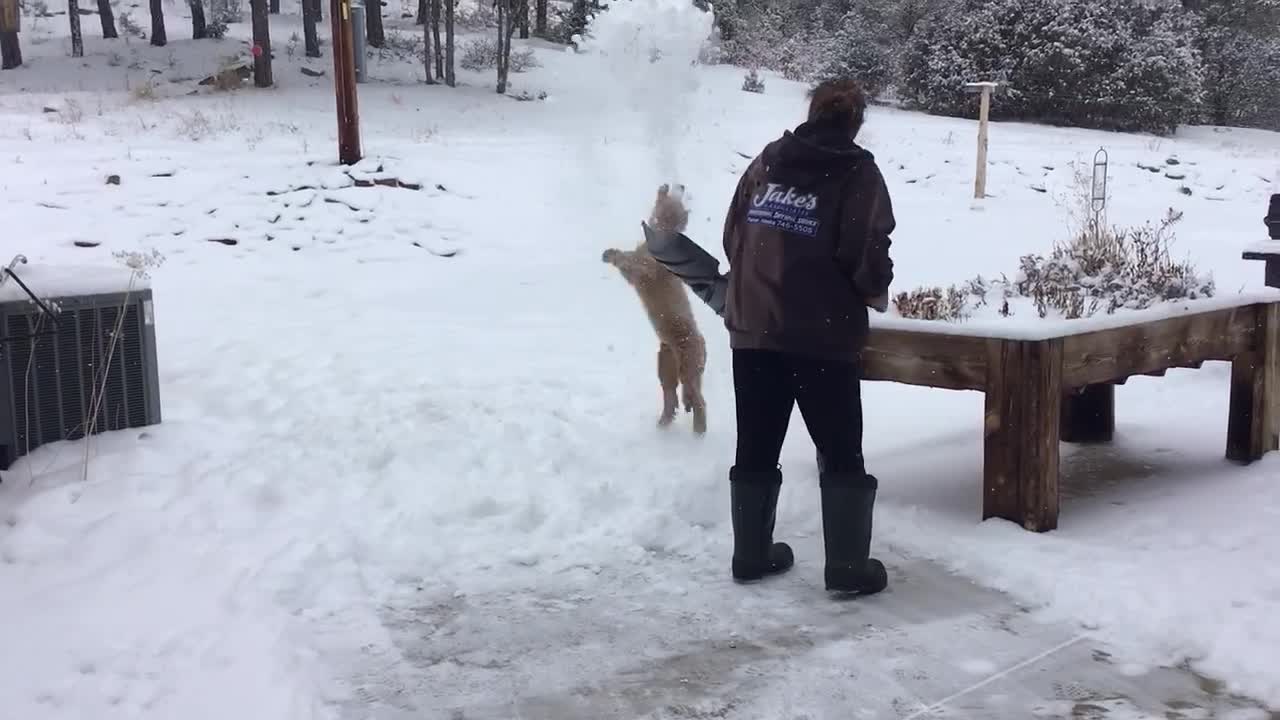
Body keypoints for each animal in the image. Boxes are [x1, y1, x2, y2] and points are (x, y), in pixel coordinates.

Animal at [601, 183, 711, 430]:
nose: (681, 185)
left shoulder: (641, 269)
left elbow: (626, 261)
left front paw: (610, 254)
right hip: (666, 365)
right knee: (673, 395)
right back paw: (664, 422)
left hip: (689, 364)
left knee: (699, 400)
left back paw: (698, 429)